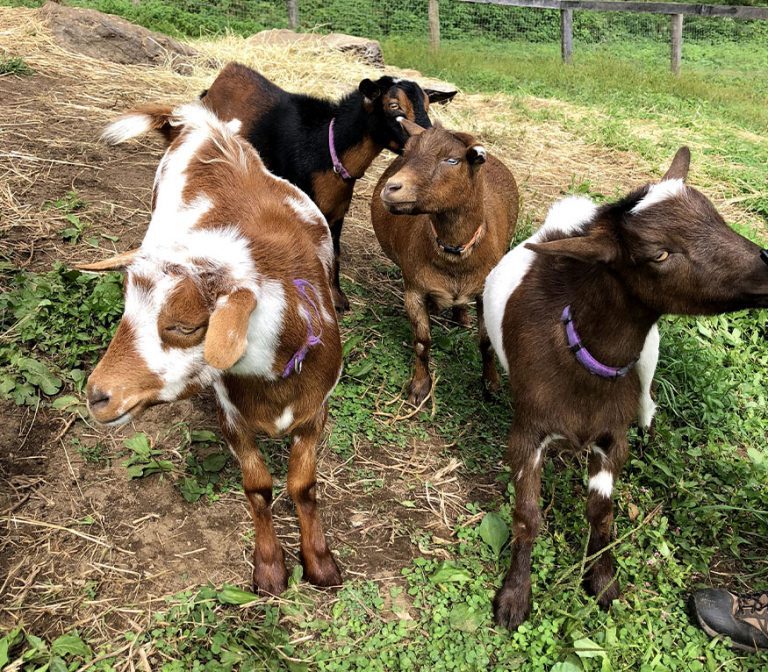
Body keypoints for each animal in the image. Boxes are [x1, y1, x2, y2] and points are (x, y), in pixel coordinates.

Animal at [82, 102, 344, 595]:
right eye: (126, 310)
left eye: (186, 326)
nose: (97, 396)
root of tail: (199, 124)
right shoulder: (231, 414)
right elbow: (258, 487)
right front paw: (270, 570)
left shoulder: (315, 411)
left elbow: (303, 486)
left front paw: (320, 564)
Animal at [196, 63, 455, 312]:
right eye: (394, 106)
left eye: (427, 105)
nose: (432, 144)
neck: (324, 147)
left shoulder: (337, 210)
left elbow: (335, 252)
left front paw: (337, 297)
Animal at [370, 120, 519, 405]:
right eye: (406, 152)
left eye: (452, 160)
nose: (392, 187)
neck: (453, 257)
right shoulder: (414, 290)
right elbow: (422, 342)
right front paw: (419, 387)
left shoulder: (485, 293)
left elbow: (486, 343)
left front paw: (492, 384)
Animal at [483, 147, 768, 630]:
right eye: (659, 253)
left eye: (715, 215)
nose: (767, 268)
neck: (577, 354)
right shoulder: (527, 433)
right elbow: (527, 517)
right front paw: (514, 598)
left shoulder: (611, 437)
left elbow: (602, 514)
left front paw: (603, 582)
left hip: (648, 370)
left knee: (648, 405)